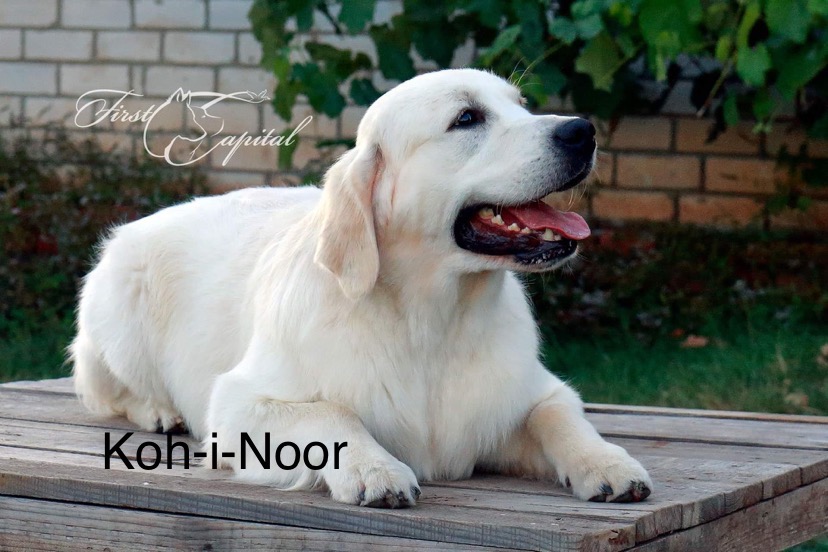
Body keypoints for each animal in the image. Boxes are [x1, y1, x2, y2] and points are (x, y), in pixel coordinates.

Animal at [72, 68, 652, 508]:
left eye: (522, 105)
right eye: (467, 118)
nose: (582, 130)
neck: (433, 321)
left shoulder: (532, 392)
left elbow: (561, 414)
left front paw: (608, 463)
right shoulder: (238, 404)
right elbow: (331, 412)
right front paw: (375, 469)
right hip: (119, 306)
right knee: (107, 393)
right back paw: (159, 412)